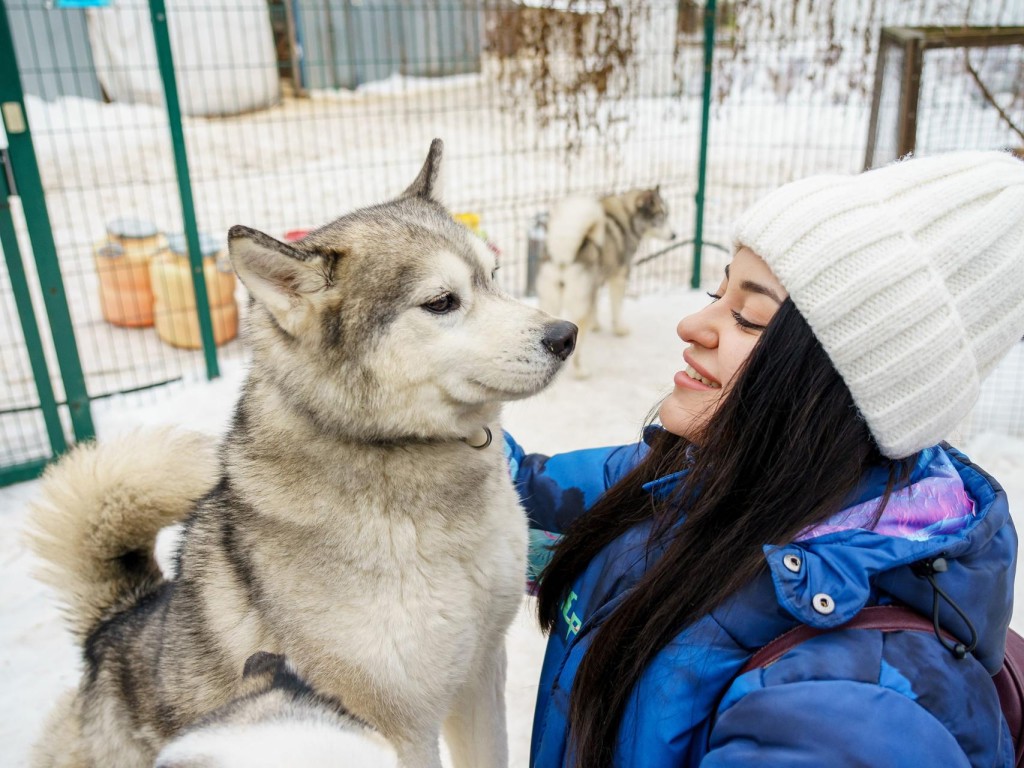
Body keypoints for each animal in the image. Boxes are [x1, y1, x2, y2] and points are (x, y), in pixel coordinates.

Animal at [536, 187, 671, 378]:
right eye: (661, 215)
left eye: (667, 214)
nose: (674, 235)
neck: (626, 215)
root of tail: (564, 257)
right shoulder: (618, 279)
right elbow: (617, 309)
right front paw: (619, 329)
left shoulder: (596, 284)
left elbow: (596, 308)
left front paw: (596, 326)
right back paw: (580, 371)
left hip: (550, 304)